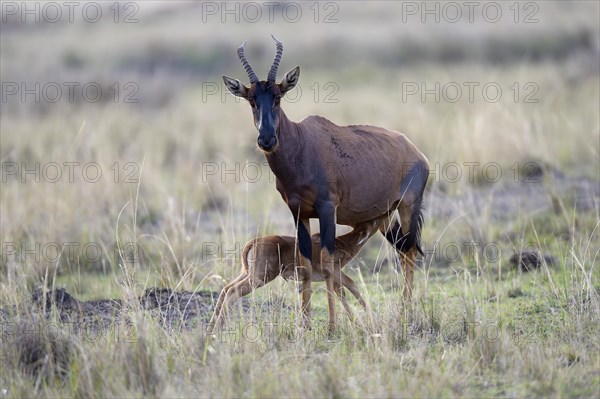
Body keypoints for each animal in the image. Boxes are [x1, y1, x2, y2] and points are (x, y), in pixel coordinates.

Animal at [209, 219, 382, 332]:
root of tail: (255, 241)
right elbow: (351, 285)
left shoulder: (333, 277)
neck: (340, 243)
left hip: (247, 274)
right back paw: (218, 327)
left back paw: (211, 327)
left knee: (226, 288)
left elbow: (342, 293)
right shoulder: (335, 272)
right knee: (232, 291)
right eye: (373, 222)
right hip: (260, 278)